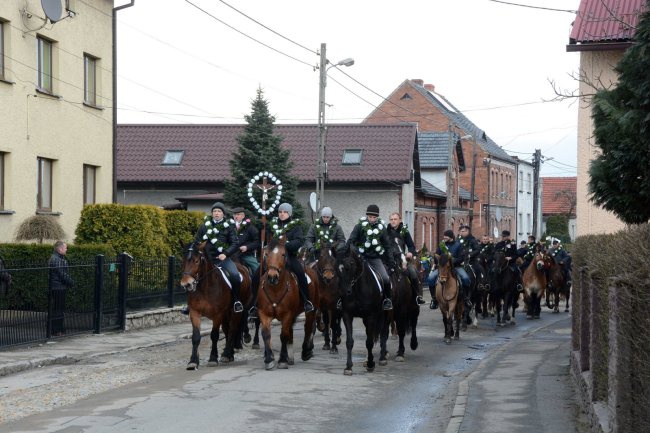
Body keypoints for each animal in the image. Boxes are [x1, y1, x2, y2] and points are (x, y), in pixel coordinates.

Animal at [180, 241, 251, 370]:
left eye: (196, 261)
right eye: (183, 260)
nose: (186, 284)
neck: (204, 288)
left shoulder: (217, 315)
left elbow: (214, 335)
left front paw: (213, 358)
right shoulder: (194, 312)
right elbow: (196, 337)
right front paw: (193, 361)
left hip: (236, 311)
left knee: (232, 329)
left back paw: (227, 354)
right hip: (226, 314)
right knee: (227, 330)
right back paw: (229, 354)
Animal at [258, 235, 318, 370]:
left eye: (283, 254)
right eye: (266, 254)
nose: (272, 277)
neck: (275, 289)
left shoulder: (287, 315)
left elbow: (283, 335)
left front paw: (282, 360)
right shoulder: (264, 313)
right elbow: (266, 334)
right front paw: (269, 359)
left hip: (312, 310)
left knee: (308, 327)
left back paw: (306, 352)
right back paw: (290, 357)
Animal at [336, 246, 388, 374]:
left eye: (348, 267)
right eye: (336, 269)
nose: (344, 292)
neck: (357, 289)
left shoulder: (371, 316)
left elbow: (369, 342)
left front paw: (370, 364)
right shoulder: (347, 315)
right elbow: (349, 342)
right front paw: (348, 367)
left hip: (385, 314)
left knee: (383, 332)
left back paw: (382, 357)